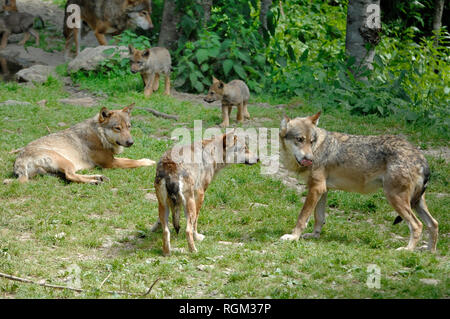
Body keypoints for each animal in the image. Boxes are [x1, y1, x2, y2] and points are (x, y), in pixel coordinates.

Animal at [4, 105, 156, 185]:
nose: (131, 142)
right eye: (117, 128)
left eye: (129, 127)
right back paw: (95, 181)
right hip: (66, 161)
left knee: (68, 176)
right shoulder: (110, 163)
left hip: (55, 171)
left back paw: (98, 178)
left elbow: (131, 159)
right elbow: (133, 162)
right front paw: (149, 162)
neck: (99, 134)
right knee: (71, 176)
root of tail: (19, 160)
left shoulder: (112, 159)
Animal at [280, 112, 438, 252]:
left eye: (311, 141)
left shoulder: (316, 188)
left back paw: (407, 250)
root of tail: (421, 158)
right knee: (433, 224)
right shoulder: (321, 190)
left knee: (417, 225)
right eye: (299, 139)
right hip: (415, 202)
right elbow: (318, 217)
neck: (317, 147)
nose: (310, 159)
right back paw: (429, 251)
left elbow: (302, 217)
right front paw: (314, 236)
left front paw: (293, 237)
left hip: (396, 199)